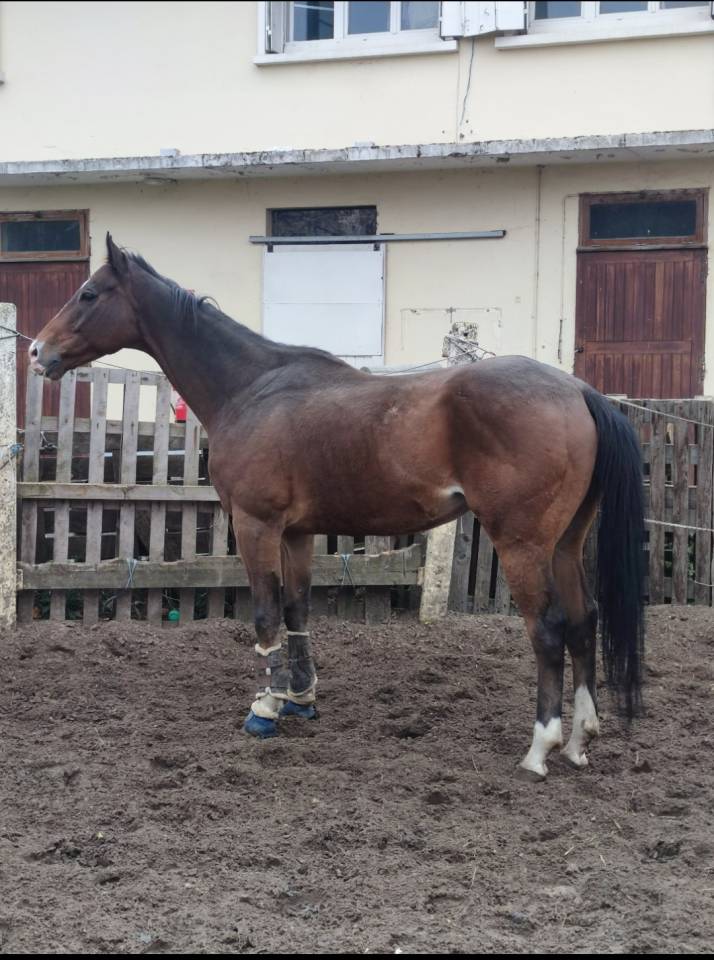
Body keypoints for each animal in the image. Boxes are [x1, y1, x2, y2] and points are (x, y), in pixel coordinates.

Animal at [29, 234, 645, 781]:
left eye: (88, 293)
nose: (37, 351)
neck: (251, 387)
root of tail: (577, 391)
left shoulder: (255, 524)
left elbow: (266, 613)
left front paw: (265, 709)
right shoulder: (295, 532)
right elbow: (297, 609)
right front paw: (300, 697)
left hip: (522, 543)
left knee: (548, 629)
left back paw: (541, 747)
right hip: (566, 543)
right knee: (584, 619)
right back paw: (580, 739)